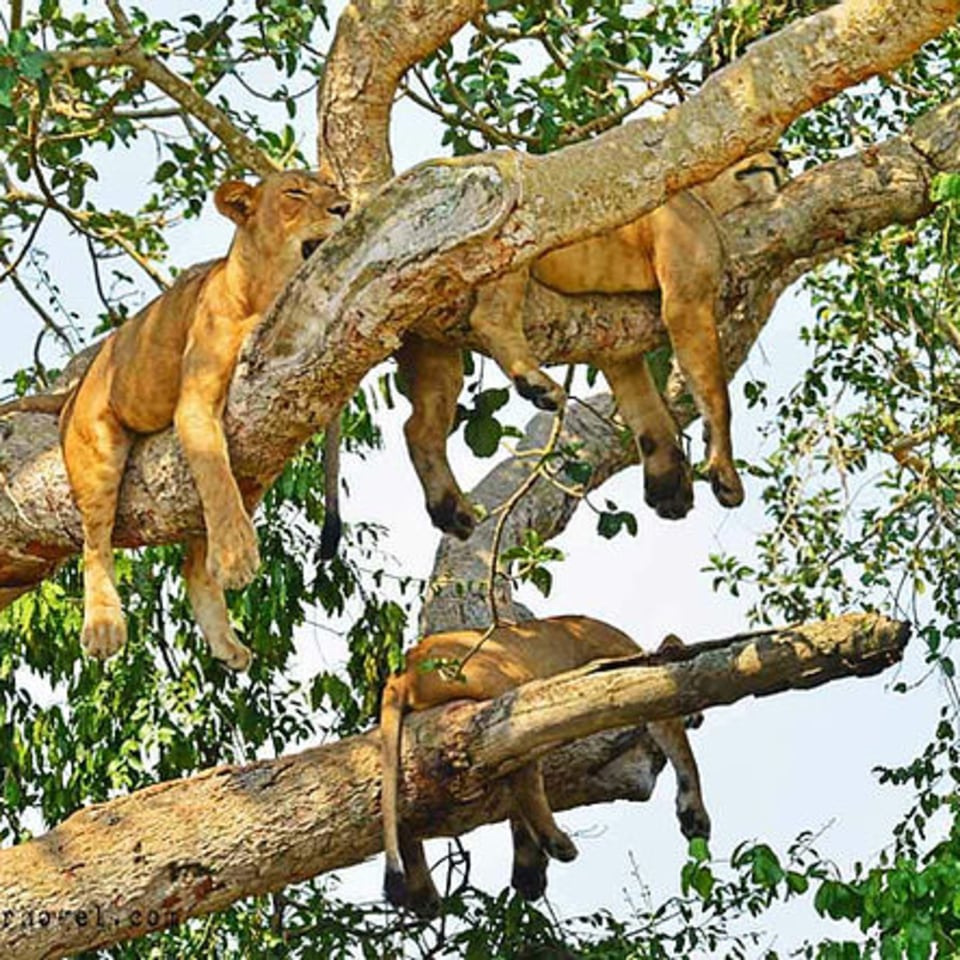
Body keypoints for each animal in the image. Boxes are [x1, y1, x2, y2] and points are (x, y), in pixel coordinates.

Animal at [2, 171, 349, 668]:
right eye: (295, 194)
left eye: (332, 186)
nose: (344, 206)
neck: (264, 286)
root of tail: (74, 389)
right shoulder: (194, 403)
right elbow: (216, 478)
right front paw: (237, 556)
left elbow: (220, 498)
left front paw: (230, 558)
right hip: (97, 447)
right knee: (95, 540)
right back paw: (104, 626)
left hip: (256, 468)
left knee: (192, 560)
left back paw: (225, 642)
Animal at [380, 615, 711, 917]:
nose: (699, 719)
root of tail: (407, 663)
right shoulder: (635, 681)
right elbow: (683, 751)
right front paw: (695, 816)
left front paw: (528, 872)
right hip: (514, 686)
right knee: (522, 772)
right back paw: (556, 842)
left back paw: (424, 896)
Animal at [388, 152, 787, 542]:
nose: (783, 156)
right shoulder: (686, 303)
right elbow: (717, 398)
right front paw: (725, 474)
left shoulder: (619, 346)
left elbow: (648, 411)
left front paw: (667, 485)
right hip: (510, 234)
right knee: (490, 317)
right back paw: (538, 386)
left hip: (433, 345)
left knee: (418, 427)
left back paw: (450, 510)